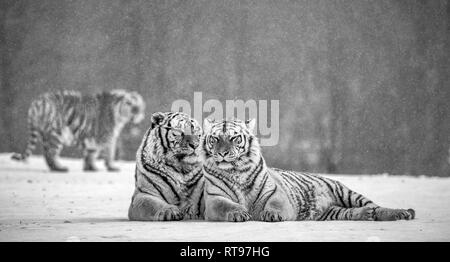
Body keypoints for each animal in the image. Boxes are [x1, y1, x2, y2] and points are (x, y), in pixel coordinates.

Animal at [11, 89, 144, 173]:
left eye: (138, 104)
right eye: (129, 103)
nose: (136, 110)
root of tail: (37, 102)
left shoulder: (93, 139)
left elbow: (90, 154)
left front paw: (90, 168)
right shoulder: (107, 137)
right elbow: (108, 154)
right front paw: (111, 167)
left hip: (47, 134)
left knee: (47, 153)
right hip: (56, 134)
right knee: (50, 153)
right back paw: (59, 169)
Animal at [200, 119, 414, 222]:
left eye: (234, 138)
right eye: (215, 139)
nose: (223, 153)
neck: (235, 171)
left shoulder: (276, 193)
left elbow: (275, 204)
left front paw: (272, 215)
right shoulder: (214, 199)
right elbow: (226, 206)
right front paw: (239, 213)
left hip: (345, 191)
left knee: (376, 205)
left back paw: (401, 213)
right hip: (332, 212)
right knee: (352, 212)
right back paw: (366, 214)